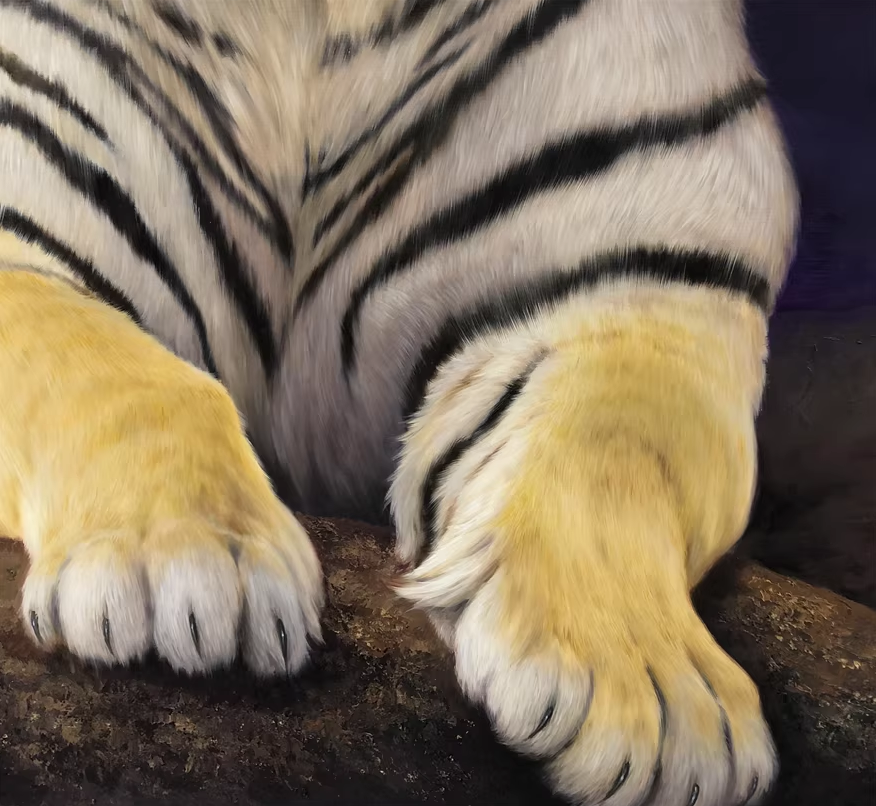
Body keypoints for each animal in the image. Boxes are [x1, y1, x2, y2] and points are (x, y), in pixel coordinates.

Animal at [0, 0, 798, 803]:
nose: (176, 550)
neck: (314, 24)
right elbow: (103, 367)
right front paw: (177, 559)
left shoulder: (660, 282)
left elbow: (619, 445)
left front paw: (649, 694)